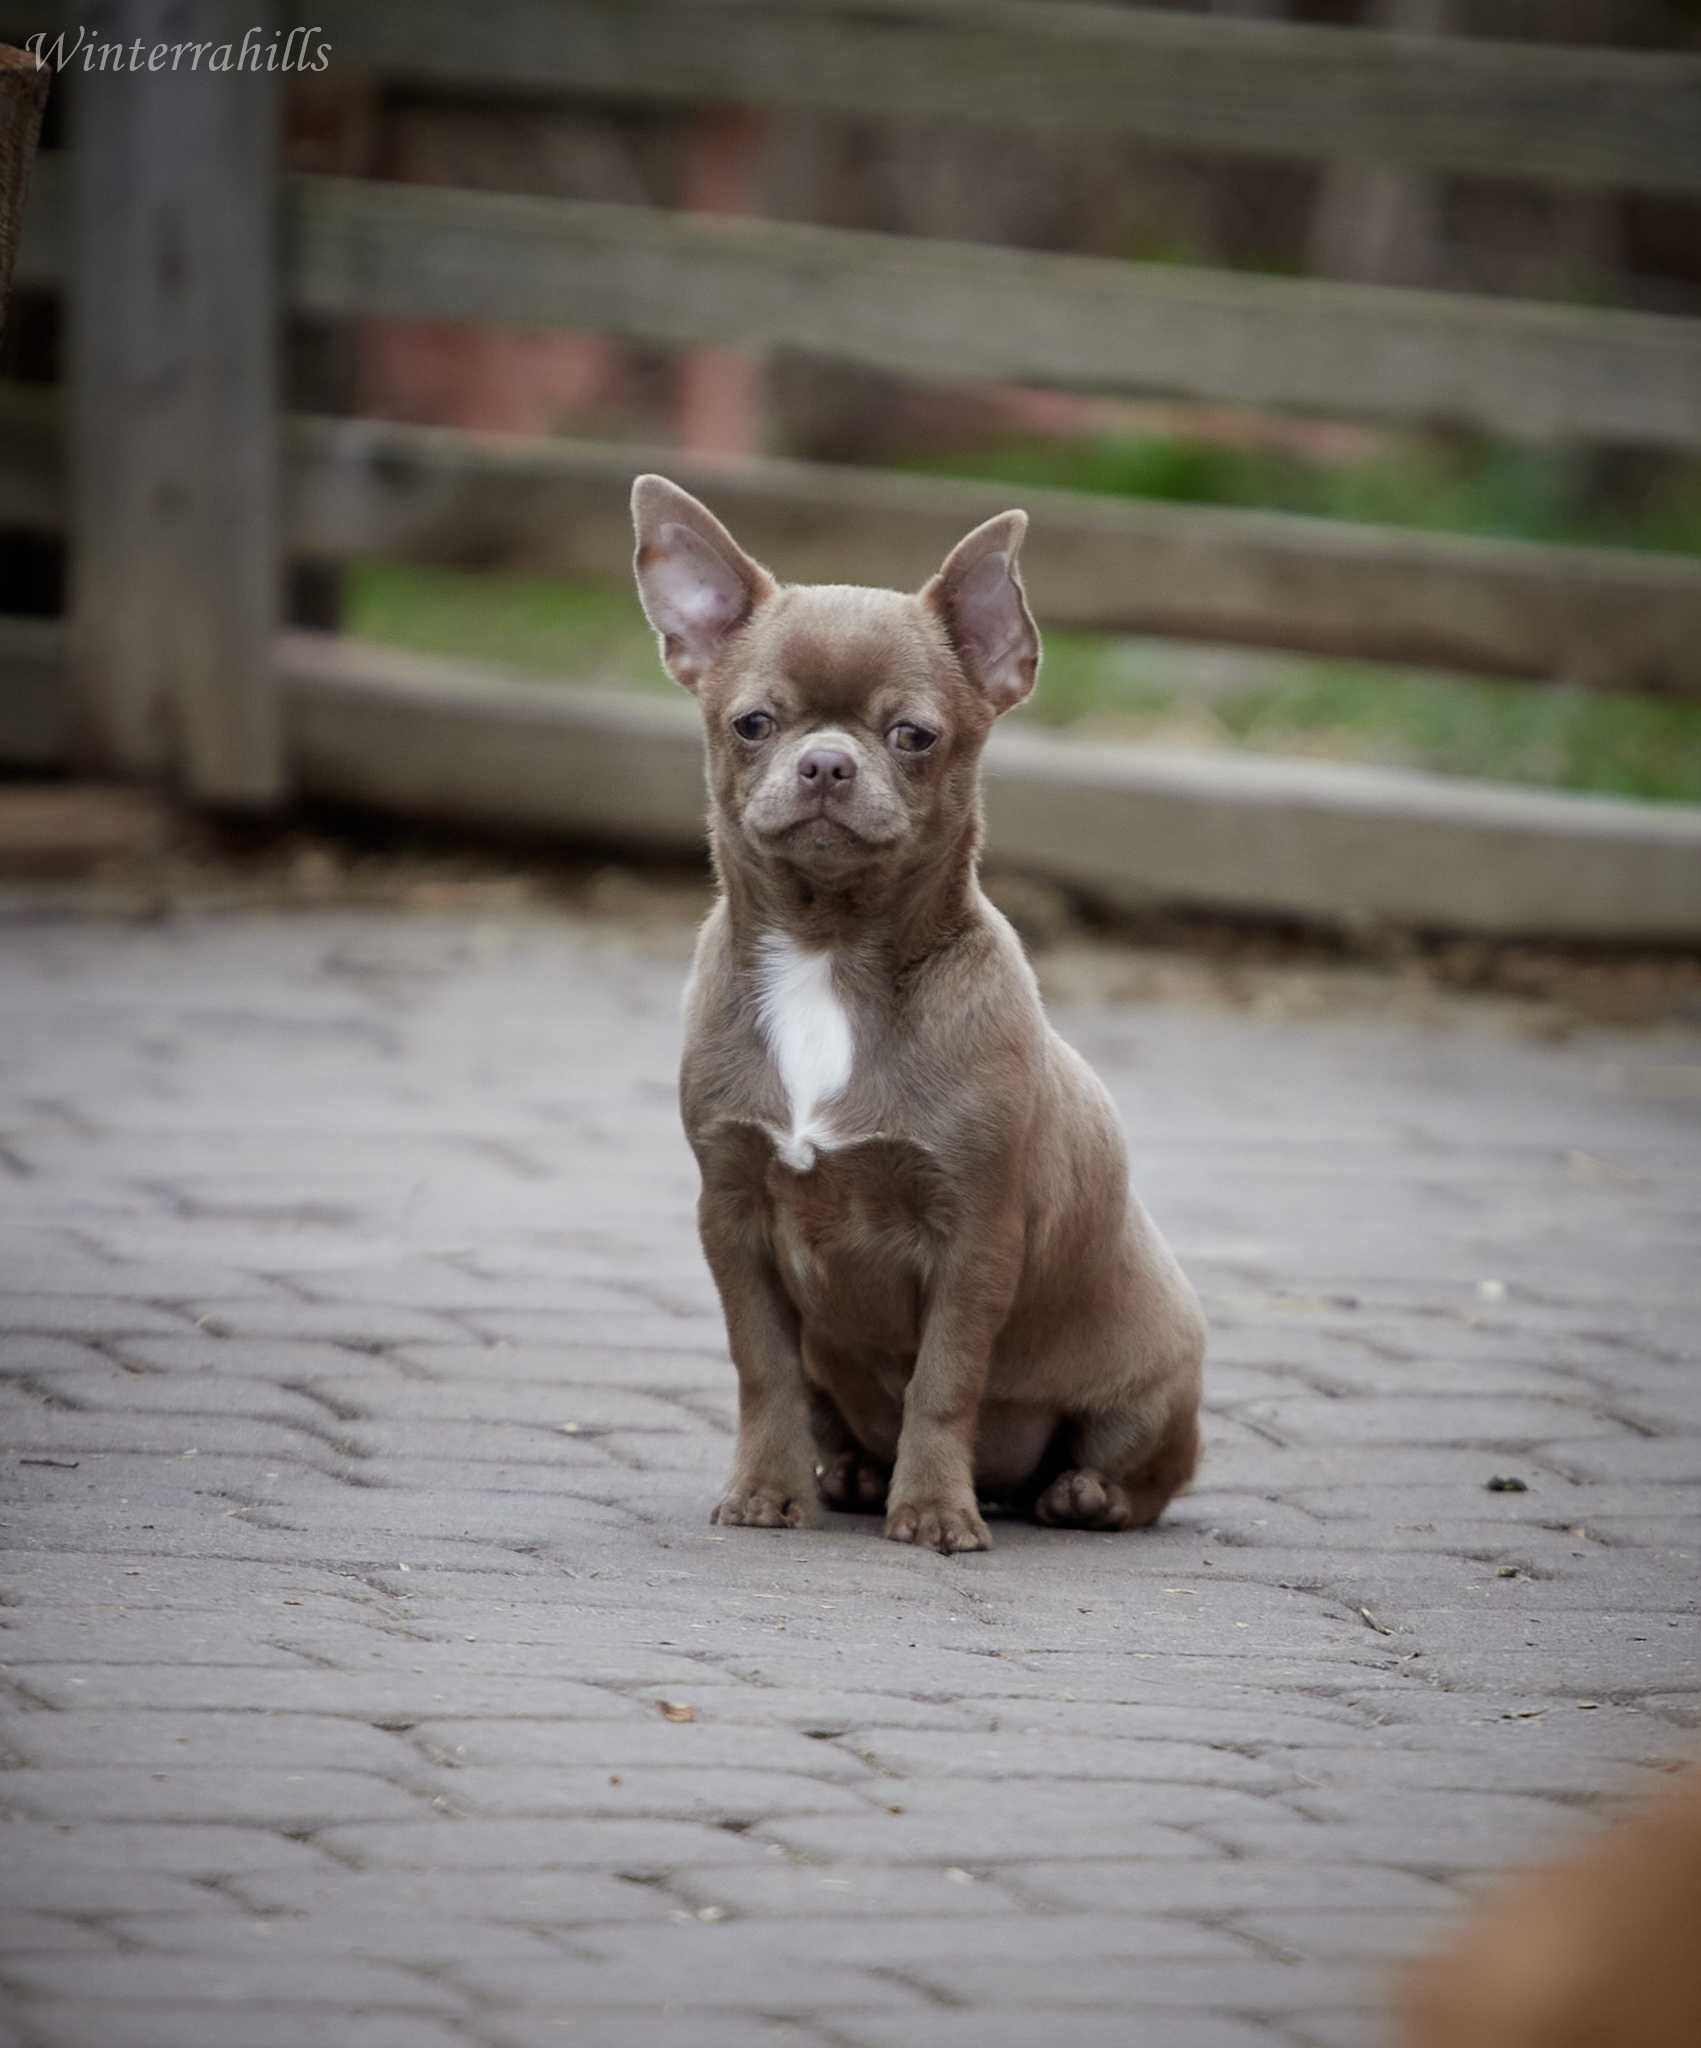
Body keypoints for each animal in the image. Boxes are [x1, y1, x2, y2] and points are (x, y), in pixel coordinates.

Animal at [630, 475, 1203, 1548]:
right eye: (752, 724)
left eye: (913, 736)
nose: (824, 763)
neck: (828, 952)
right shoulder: (732, 1217)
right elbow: (761, 1369)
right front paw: (765, 1490)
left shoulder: (973, 1234)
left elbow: (946, 1378)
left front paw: (935, 1510)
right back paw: (855, 1475)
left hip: (1154, 1380)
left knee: (1143, 1475)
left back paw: (1078, 1494)